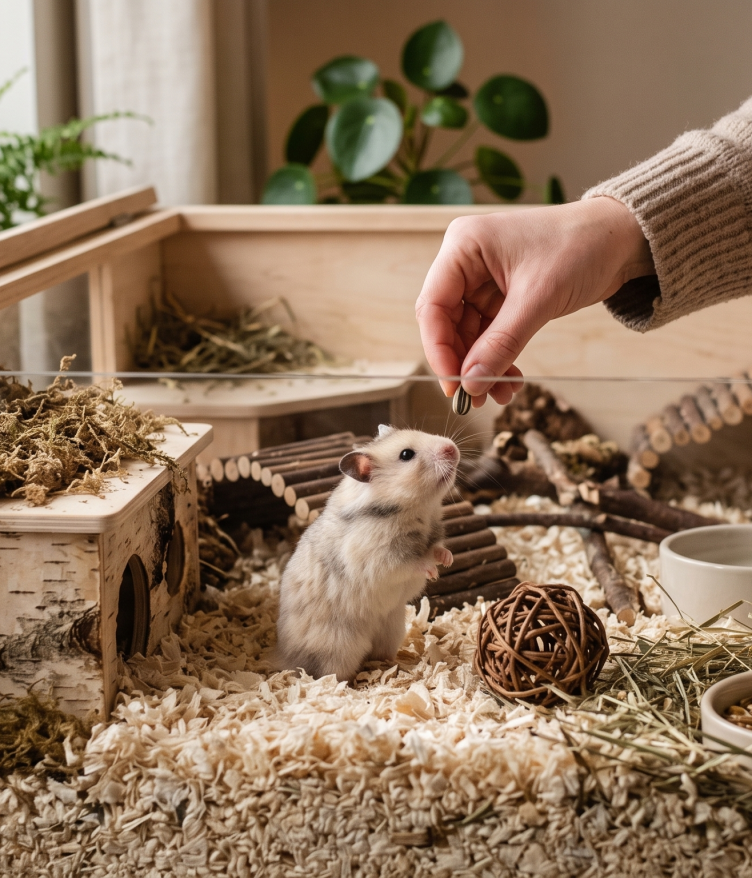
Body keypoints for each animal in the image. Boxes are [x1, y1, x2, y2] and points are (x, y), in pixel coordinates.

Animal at [275, 425, 460, 682]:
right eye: (406, 455)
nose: (452, 448)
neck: (418, 509)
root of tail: (285, 659)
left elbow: (437, 548)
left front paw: (447, 560)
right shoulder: (381, 558)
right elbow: (412, 562)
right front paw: (432, 572)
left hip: (391, 630)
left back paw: (395, 666)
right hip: (338, 647)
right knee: (328, 673)